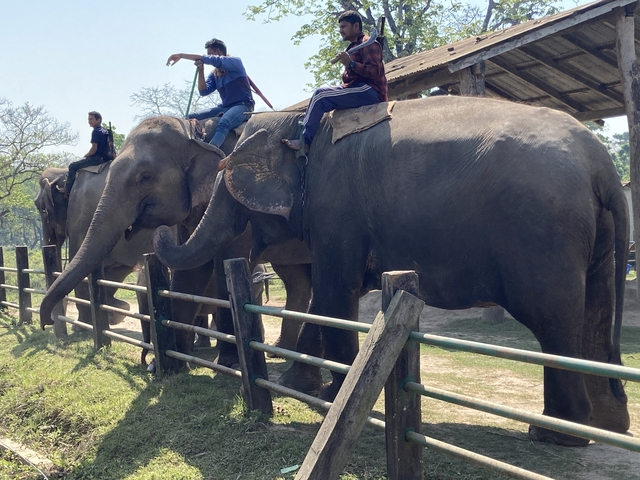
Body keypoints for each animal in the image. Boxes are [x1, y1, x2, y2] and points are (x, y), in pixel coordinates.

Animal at [39, 116, 312, 370]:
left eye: (145, 177)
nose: (46, 322)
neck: (195, 132)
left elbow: (224, 261)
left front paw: (228, 363)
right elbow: (190, 268)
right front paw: (171, 362)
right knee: (297, 278)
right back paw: (282, 351)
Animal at [149, 96, 630, 446]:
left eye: (227, 182)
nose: (159, 229)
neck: (296, 120)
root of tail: (601, 164)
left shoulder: (334, 205)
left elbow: (336, 292)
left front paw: (329, 398)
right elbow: (332, 295)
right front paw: (301, 385)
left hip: (542, 234)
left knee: (554, 320)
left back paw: (555, 435)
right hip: (594, 237)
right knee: (595, 310)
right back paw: (606, 427)